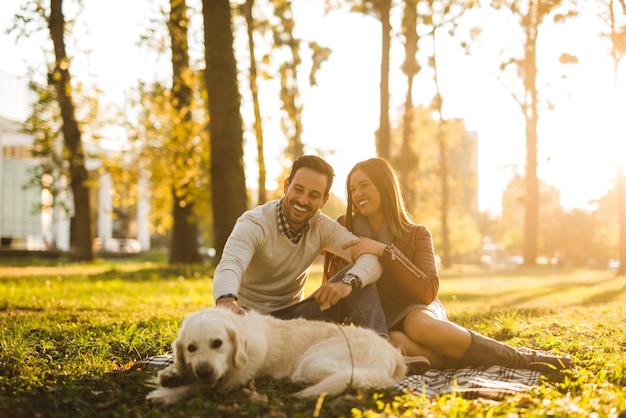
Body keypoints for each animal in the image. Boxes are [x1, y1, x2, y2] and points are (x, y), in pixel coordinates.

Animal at [149, 306, 408, 404]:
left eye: (217, 343)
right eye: (191, 348)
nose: (204, 371)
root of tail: (396, 356)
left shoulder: (232, 382)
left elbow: (197, 387)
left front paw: (166, 394)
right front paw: (171, 375)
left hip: (312, 361)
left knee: (351, 376)